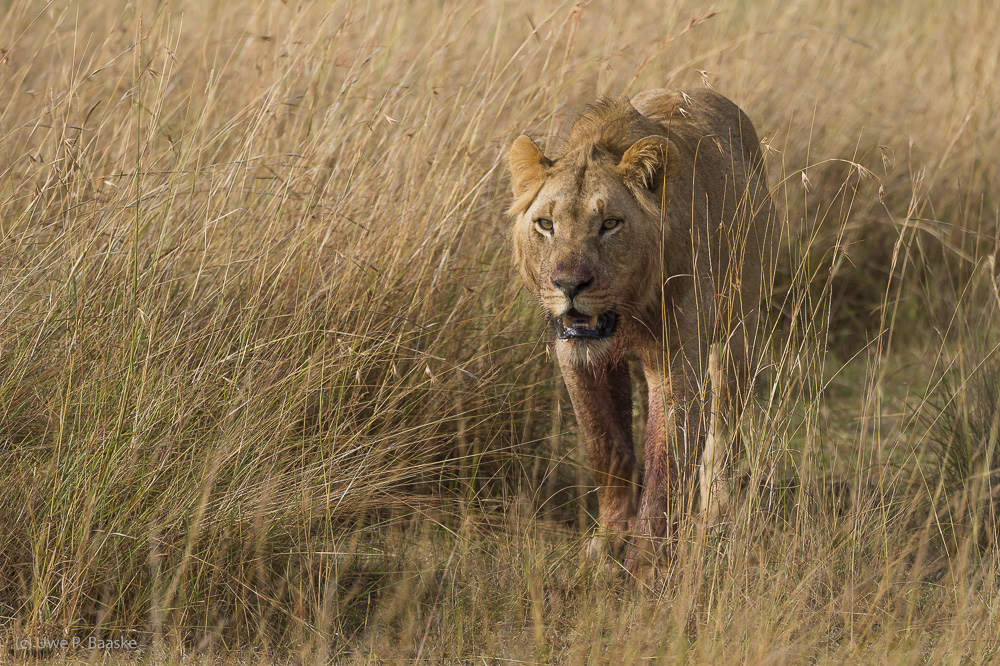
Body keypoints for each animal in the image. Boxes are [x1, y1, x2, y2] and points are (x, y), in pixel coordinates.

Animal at [508, 88, 772, 572]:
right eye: (546, 224)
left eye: (610, 224)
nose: (568, 285)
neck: (627, 312)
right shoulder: (578, 359)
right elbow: (606, 449)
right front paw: (607, 544)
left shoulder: (677, 360)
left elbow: (668, 456)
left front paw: (647, 559)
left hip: (738, 333)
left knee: (722, 429)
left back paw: (717, 514)